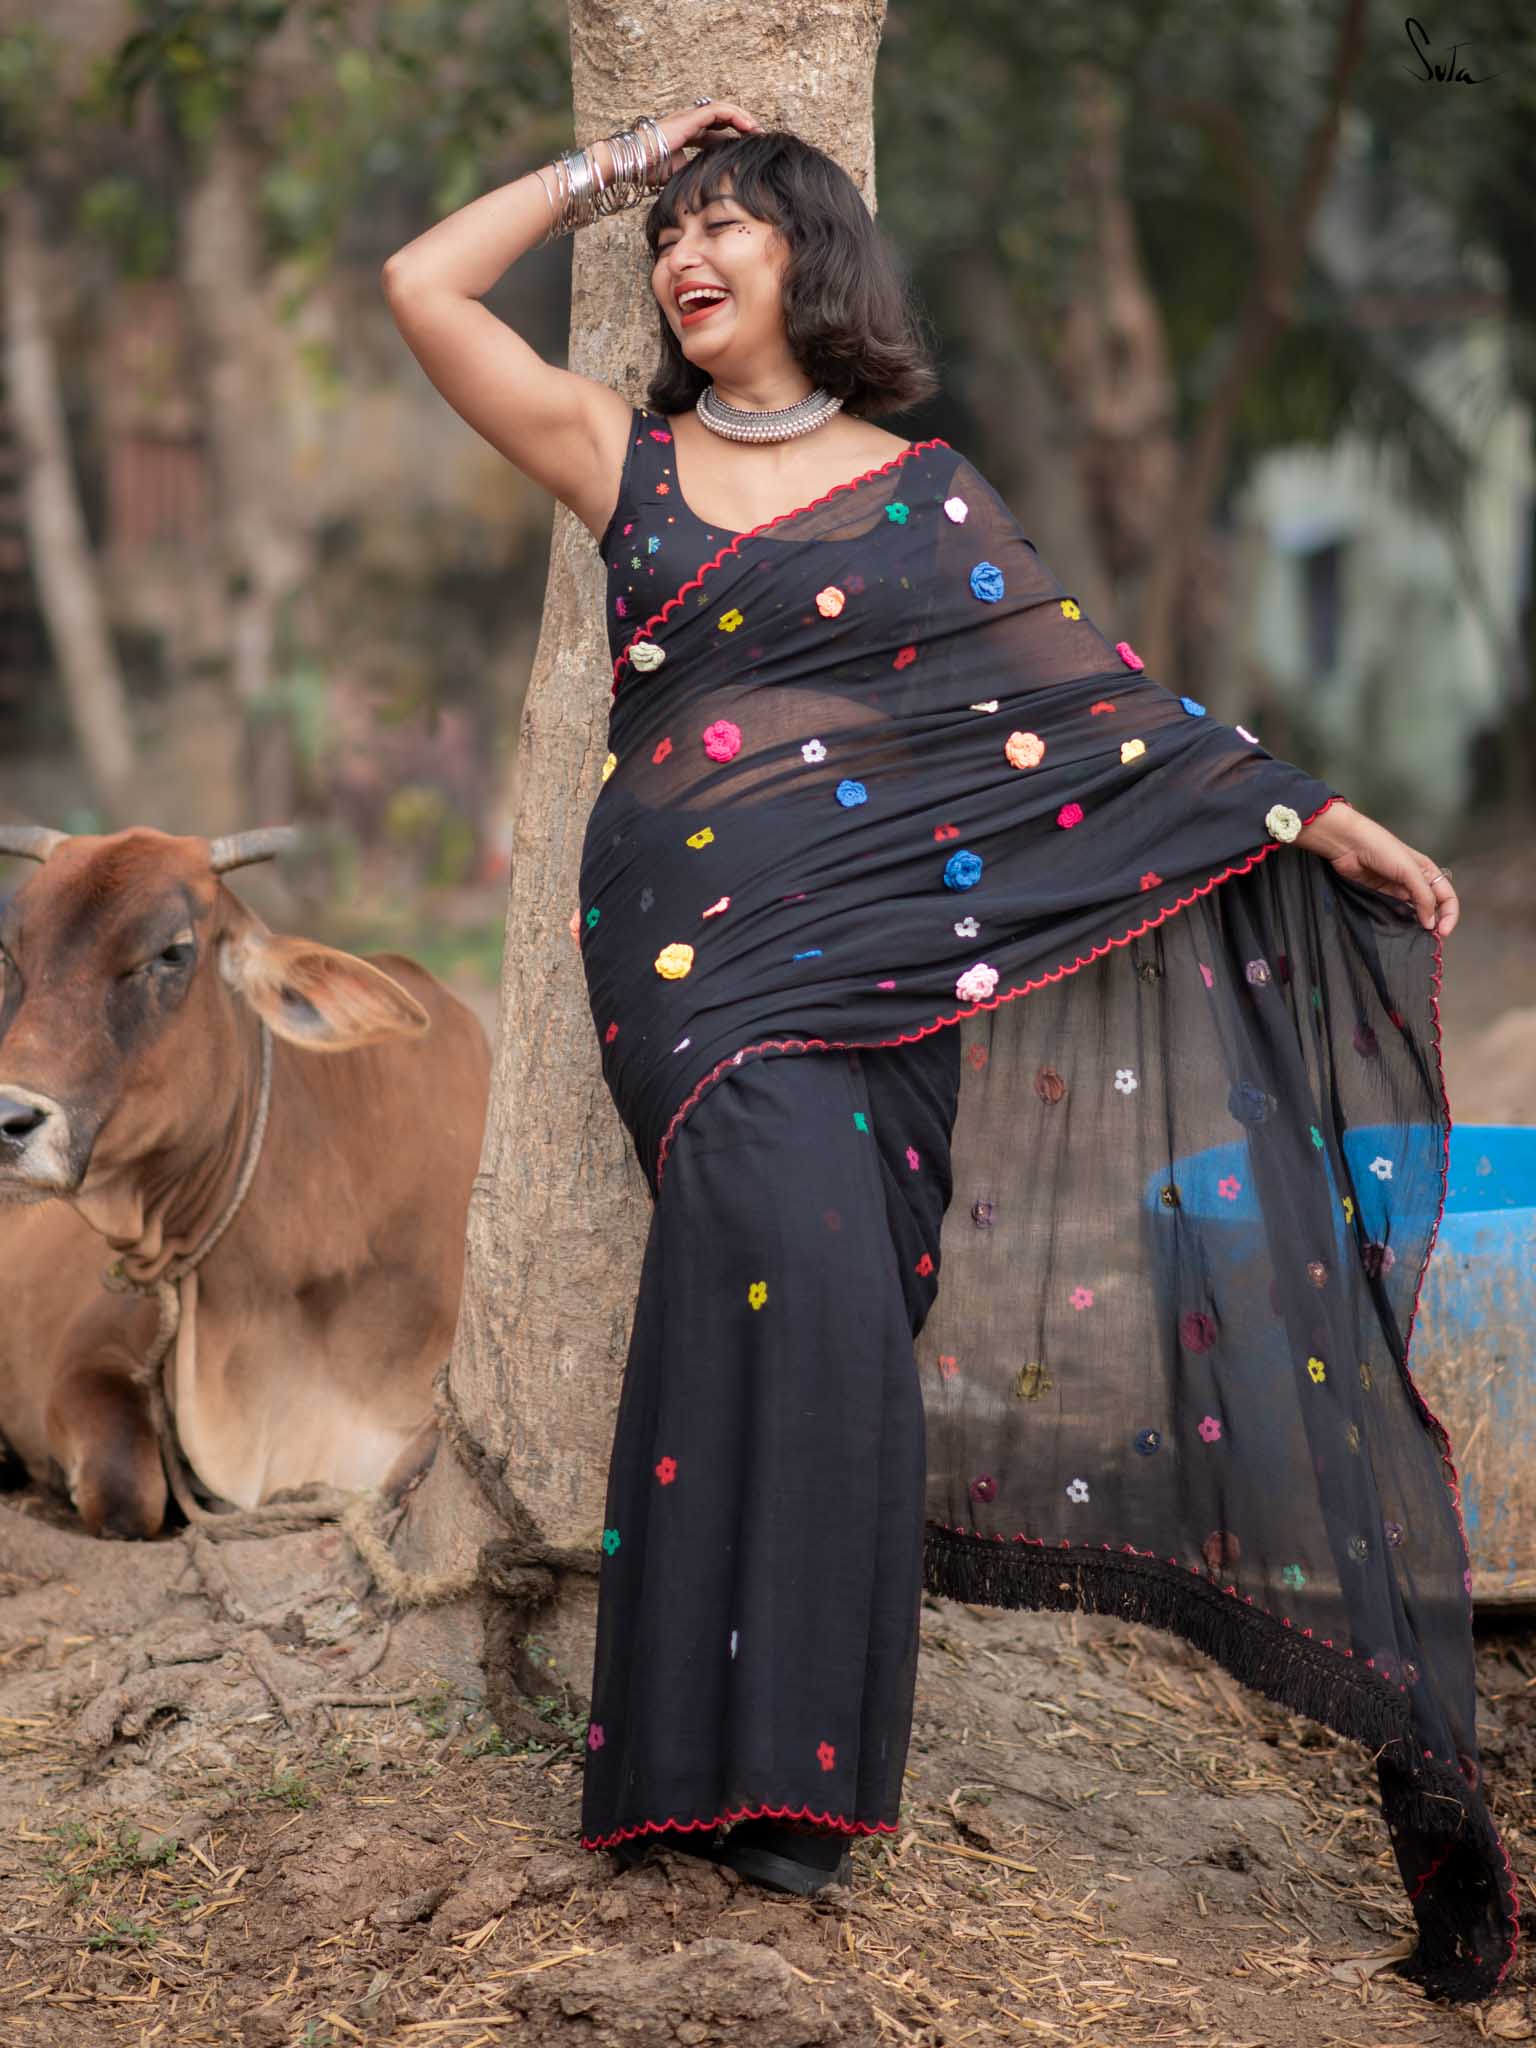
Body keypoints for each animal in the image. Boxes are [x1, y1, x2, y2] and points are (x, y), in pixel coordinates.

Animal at [0, 824, 492, 1539]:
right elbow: (126, 1489)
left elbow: (405, 1471)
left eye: (174, 952)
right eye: (10, 956)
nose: (7, 1119)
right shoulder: (94, 1350)